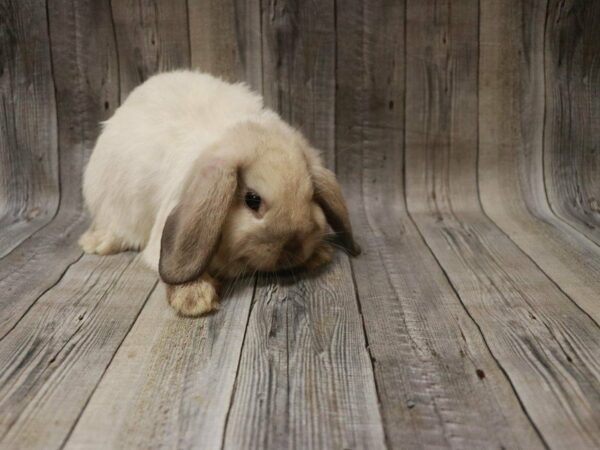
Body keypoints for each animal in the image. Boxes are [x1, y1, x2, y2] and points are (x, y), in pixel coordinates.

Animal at [79, 70, 360, 316]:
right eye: (252, 199)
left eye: (310, 195)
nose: (293, 248)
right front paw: (194, 299)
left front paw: (320, 255)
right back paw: (97, 242)